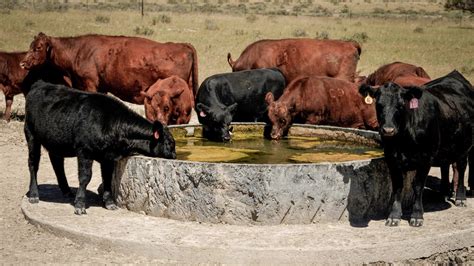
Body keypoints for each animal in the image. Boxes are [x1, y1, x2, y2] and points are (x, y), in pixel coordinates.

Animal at [19, 31, 198, 121]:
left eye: (38, 47)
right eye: (31, 45)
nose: (23, 63)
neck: (77, 51)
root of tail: (183, 45)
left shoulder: (89, 84)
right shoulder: (101, 88)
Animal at [362, 70, 472, 227]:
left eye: (401, 105)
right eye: (379, 105)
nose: (388, 130)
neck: (403, 140)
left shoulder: (425, 158)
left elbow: (418, 186)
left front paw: (417, 215)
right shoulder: (392, 158)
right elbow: (398, 186)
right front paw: (394, 216)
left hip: (464, 147)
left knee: (461, 168)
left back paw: (460, 197)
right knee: (445, 166)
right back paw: (444, 192)